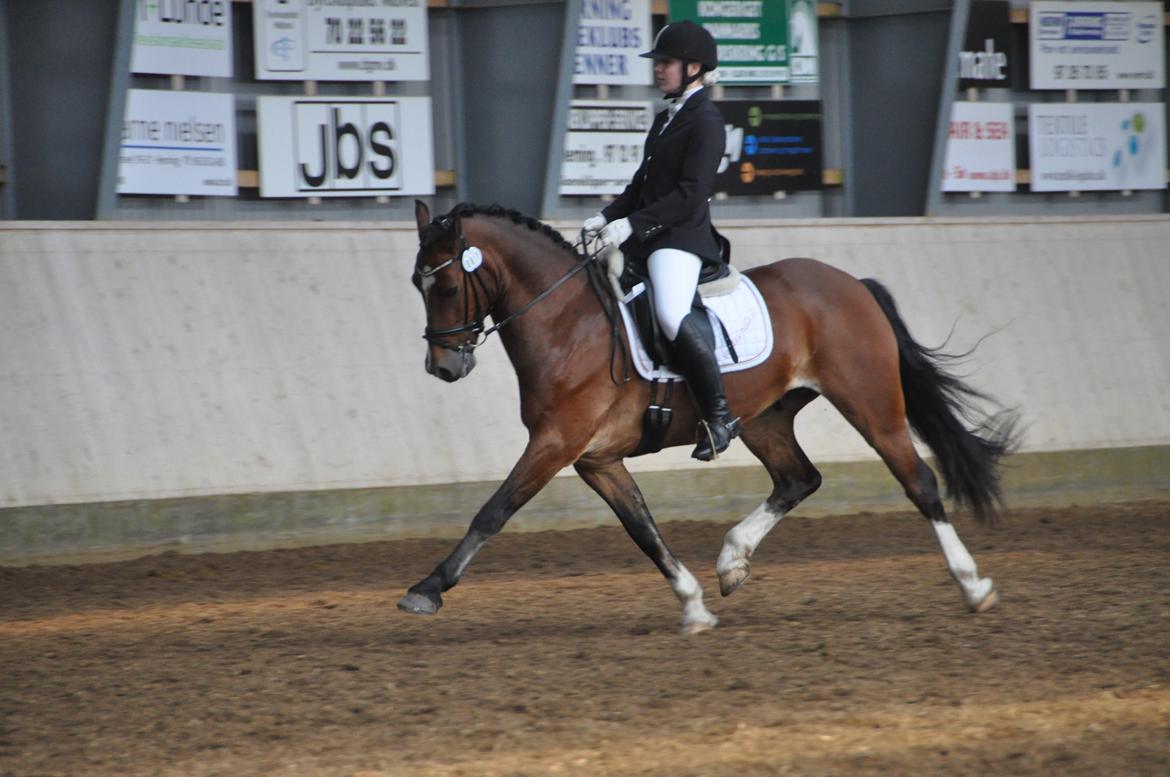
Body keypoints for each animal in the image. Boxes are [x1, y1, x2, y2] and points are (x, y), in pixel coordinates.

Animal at [395, 203, 1015, 636]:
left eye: (445, 284)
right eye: (416, 286)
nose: (442, 367)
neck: (568, 322)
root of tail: (850, 284)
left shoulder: (555, 443)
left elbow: (493, 511)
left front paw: (427, 588)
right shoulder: (596, 459)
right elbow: (643, 530)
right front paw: (693, 607)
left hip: (871, 403)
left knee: (920, 482)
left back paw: (973, 586)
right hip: (764, 418)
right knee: (798, 479)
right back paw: (732, 561)